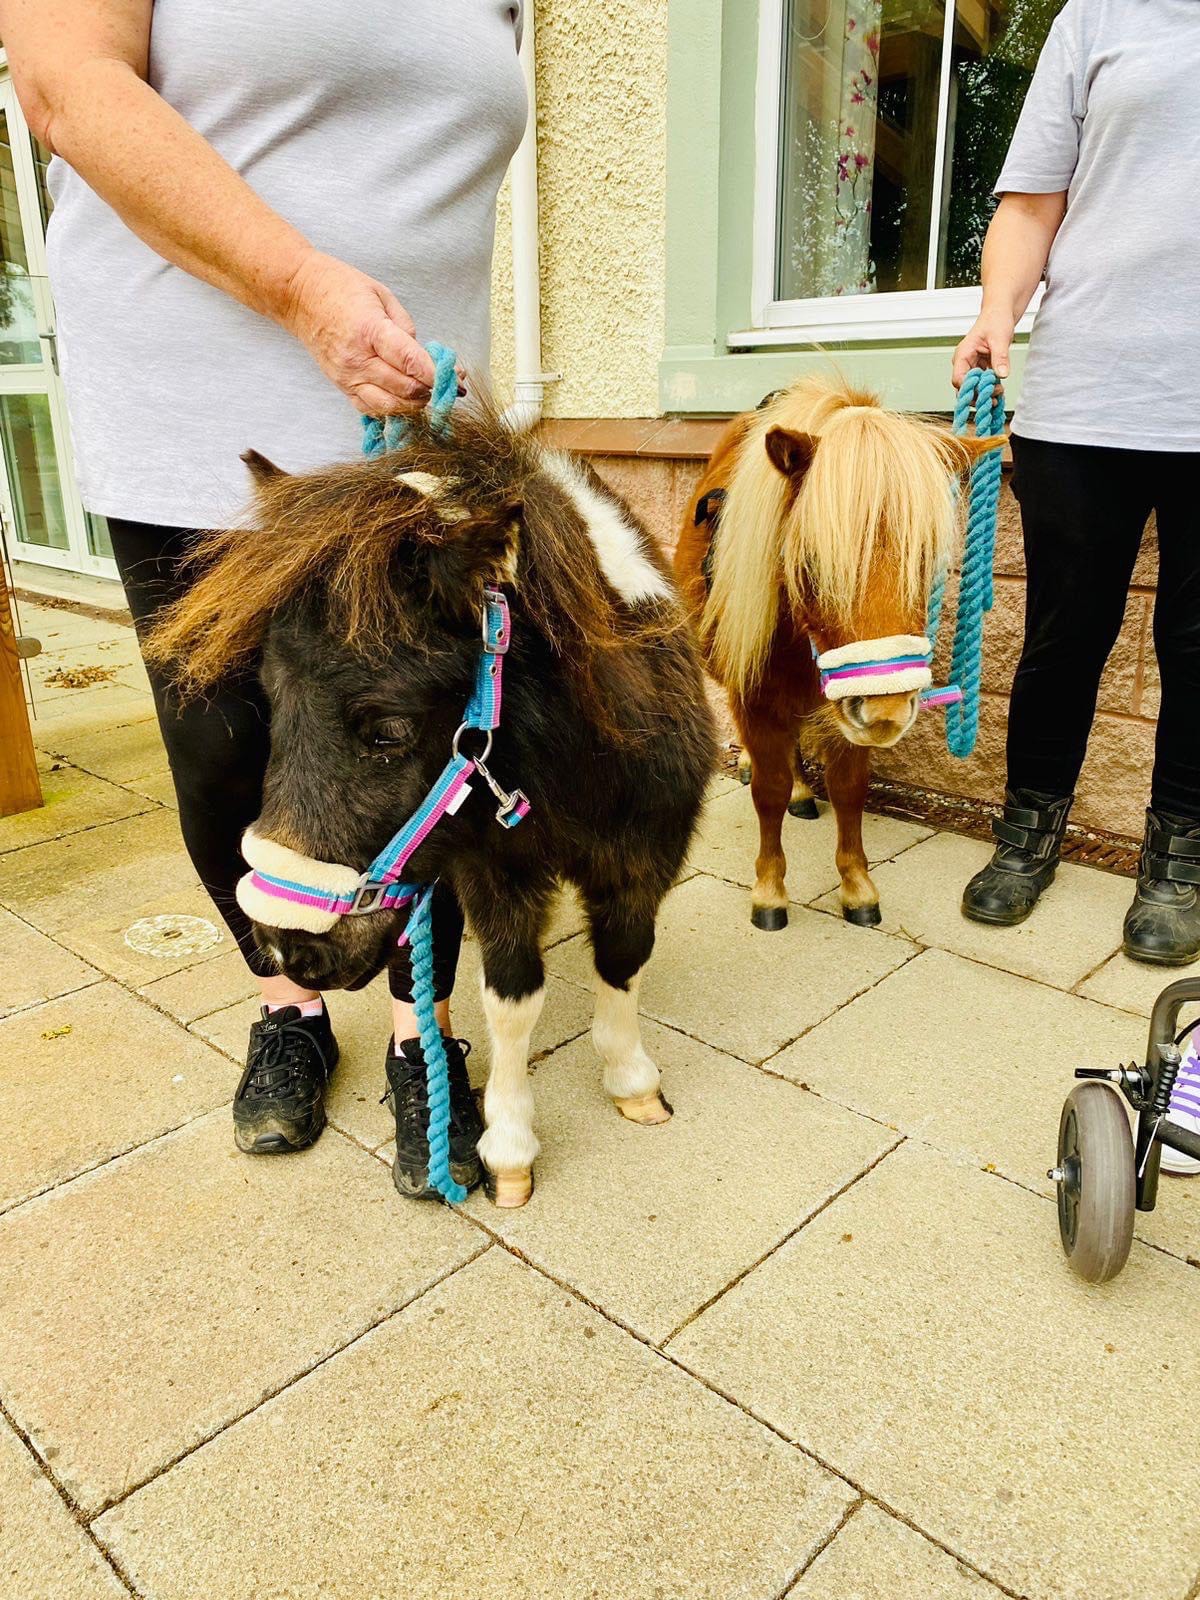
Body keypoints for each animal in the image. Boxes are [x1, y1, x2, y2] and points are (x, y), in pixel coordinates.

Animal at [147, 403, 717, 1208]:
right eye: (271, 703)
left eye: (390, 728)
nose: (288, 947)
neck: (568, 773)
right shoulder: (495, 876)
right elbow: (513, 997)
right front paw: (508, 1149)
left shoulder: (645, 856)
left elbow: (622, 961)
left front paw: (633, 1083)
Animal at [674, 375, 1003, 931]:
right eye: (810, 559)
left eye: (926, 558)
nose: (887, 713)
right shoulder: (756, 695)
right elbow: (768, 790)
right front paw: (769, 890)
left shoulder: (847, 711)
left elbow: (849, 789)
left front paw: (856, 885)